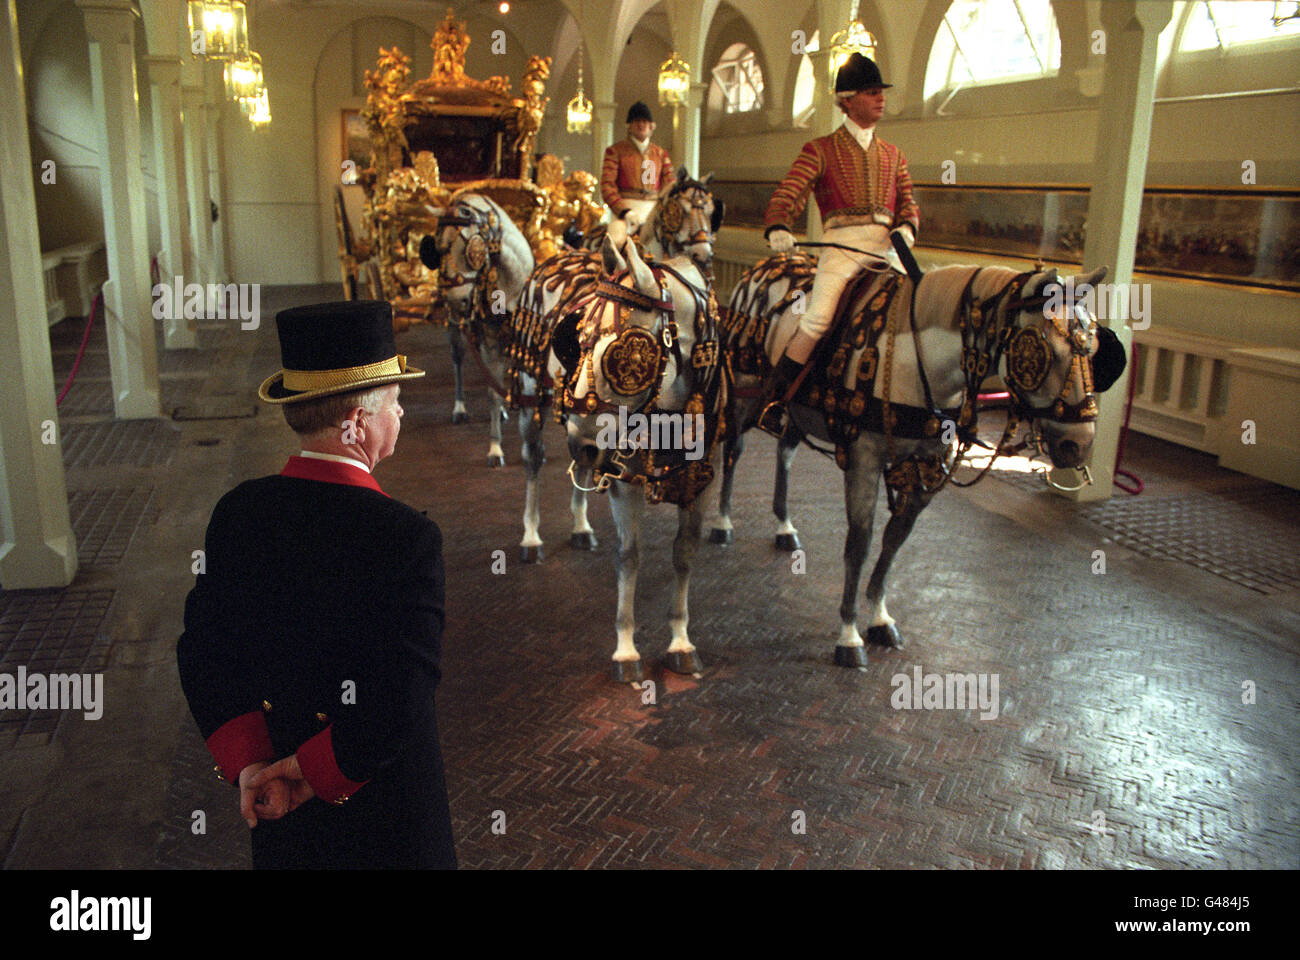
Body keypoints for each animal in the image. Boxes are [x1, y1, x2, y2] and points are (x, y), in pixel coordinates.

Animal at [421, 191, 533, 463]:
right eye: (437, 249)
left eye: (472, 250)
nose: (455, 300)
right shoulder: (491, 340)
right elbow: (492, 392)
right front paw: (495, 447)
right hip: (456, 330)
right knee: (459, 360)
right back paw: (460, 408)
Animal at [722, 252, 1128, 666]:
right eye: (1045, 352)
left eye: (1093, 348)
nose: (1079, 444)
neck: (914, 362)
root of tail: (764, 264)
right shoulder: (864, 459)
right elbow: (860, 544)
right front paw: (848, 634)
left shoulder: (926, 466)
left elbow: (896, 538)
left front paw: (880, 616)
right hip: (744, 388)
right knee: (733, 449)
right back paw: (722, 521)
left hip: (797, 412)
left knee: (785, 451)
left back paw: (784, 526)